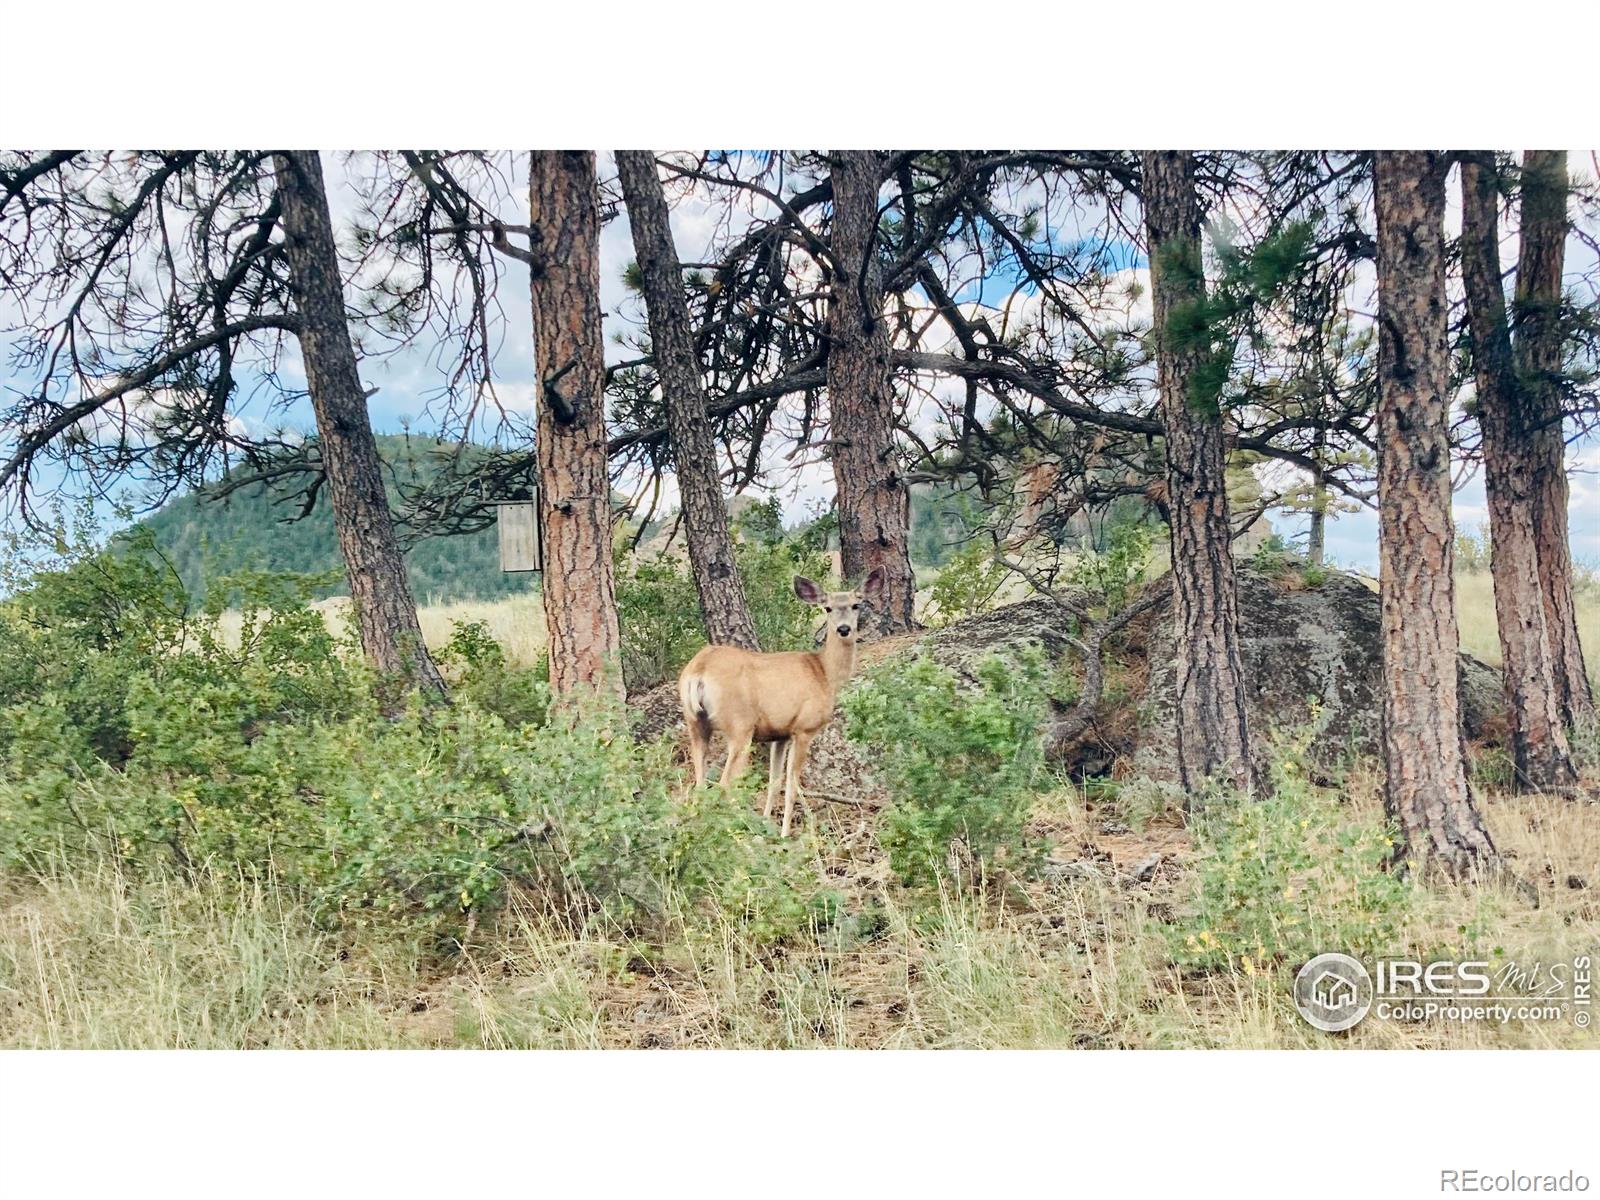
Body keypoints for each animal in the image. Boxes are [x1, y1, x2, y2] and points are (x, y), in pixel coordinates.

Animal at [668, 566, 883, 832]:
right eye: (828, 608)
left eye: (856, 605)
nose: (843, 629)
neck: (824, 673)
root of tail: (699, 668)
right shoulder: (804, 728)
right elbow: (792, 786)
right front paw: (784, 833)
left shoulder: (779, 735)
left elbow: (774, 782)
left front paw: (767, 822)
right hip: (739, 726)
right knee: (725, 784)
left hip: (695, 723)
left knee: (699, 784)